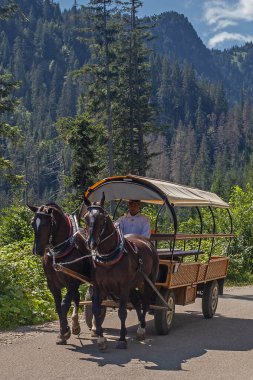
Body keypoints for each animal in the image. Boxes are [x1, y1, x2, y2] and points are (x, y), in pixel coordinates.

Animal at [27, 205, 91, 344]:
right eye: (32, 223)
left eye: (47, 223)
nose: (37, 250)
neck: (59, 252)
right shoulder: (52, 284)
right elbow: (58, 307)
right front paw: (64, 330)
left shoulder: (72, 281)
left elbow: (64, 305)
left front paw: (64, 332)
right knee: (77, 298)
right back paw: (75, 325)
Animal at [83, 194, 158, 348]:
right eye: (86, 217)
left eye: (102, 217)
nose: (91, 243)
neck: (108, 257)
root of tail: (148, 243)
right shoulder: (99, 287)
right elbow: (96, 309)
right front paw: (100, 338)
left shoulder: (123, 286)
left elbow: (122, 312)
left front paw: (122, 339)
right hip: (134, 284)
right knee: (137, 302)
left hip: (148, 281)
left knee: (146, 302)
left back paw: (142, 328)